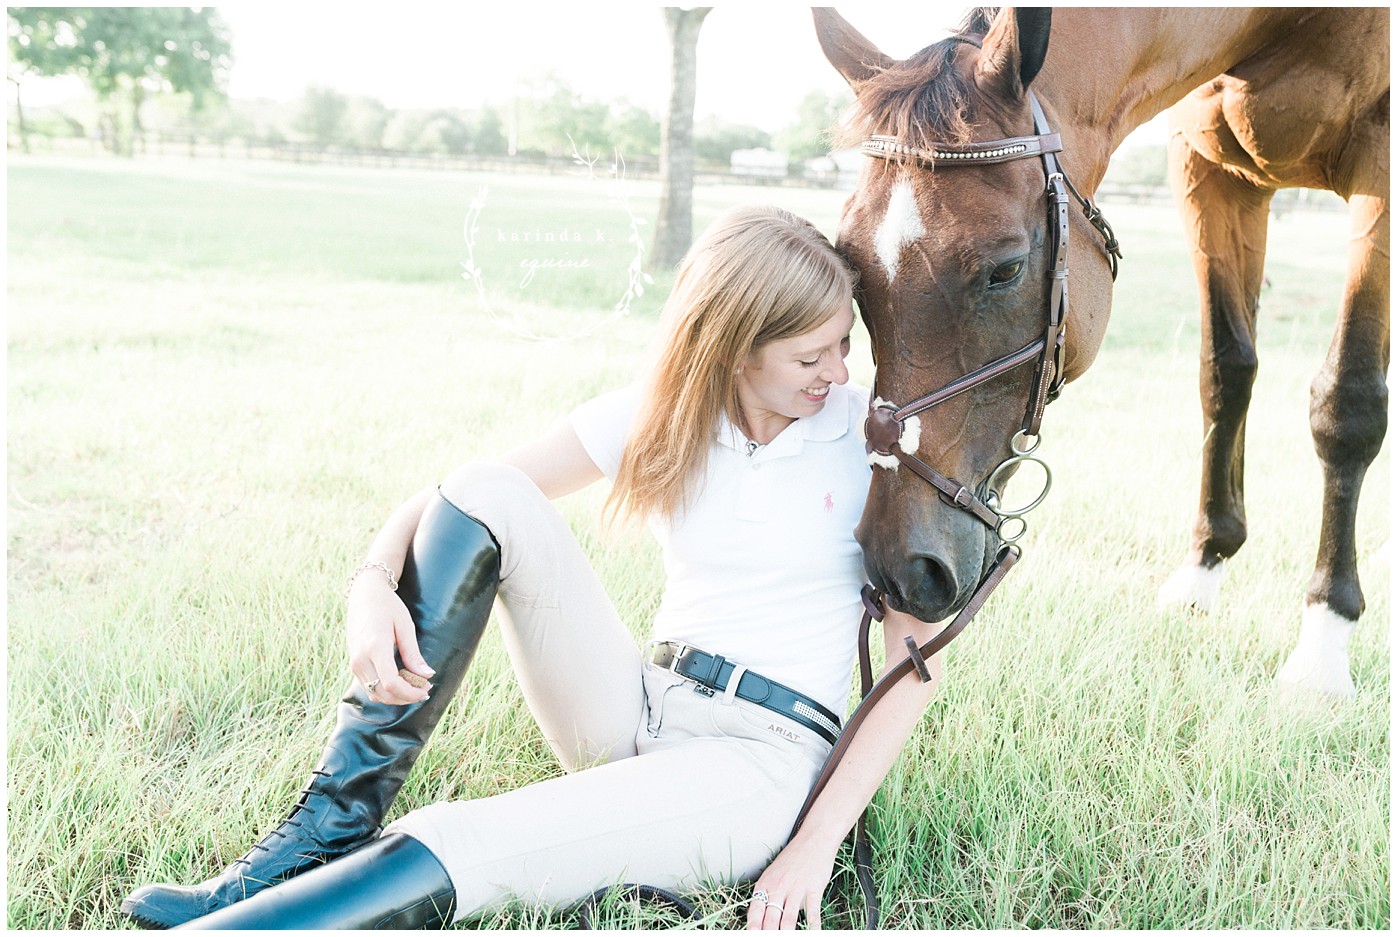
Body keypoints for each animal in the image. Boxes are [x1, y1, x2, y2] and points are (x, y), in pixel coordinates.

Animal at [813, 7, 1389, 697]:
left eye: (1005, 270)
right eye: (853, 265)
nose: (901, 567)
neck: (1276, 23)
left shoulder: (1380, 165)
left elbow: (1348, 404)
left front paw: (1325, 640)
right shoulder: (1209, 174)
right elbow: (1225, 374)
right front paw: (1203, 568)